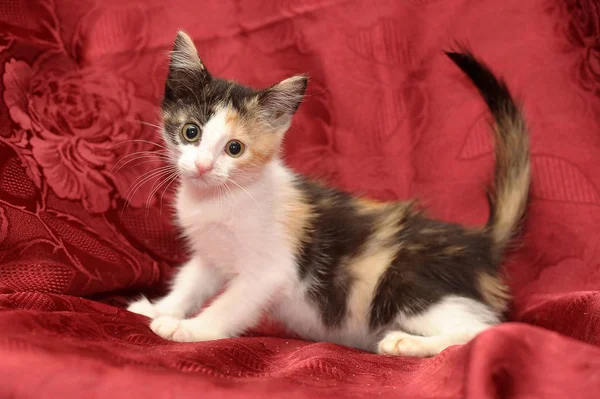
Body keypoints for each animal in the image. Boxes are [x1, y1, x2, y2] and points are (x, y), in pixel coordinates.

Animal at [129, 29, 532, 358]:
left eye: (234, 149)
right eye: (191, 132)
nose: (202, 167)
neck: (221, 198)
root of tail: (479, 243)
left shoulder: (270, 270)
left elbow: (231, 303)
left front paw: (190, 329)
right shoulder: (211, 254)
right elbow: (191, 282)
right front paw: (161, 309)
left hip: (402, 284)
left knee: (485, 330)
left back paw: (408, 343)